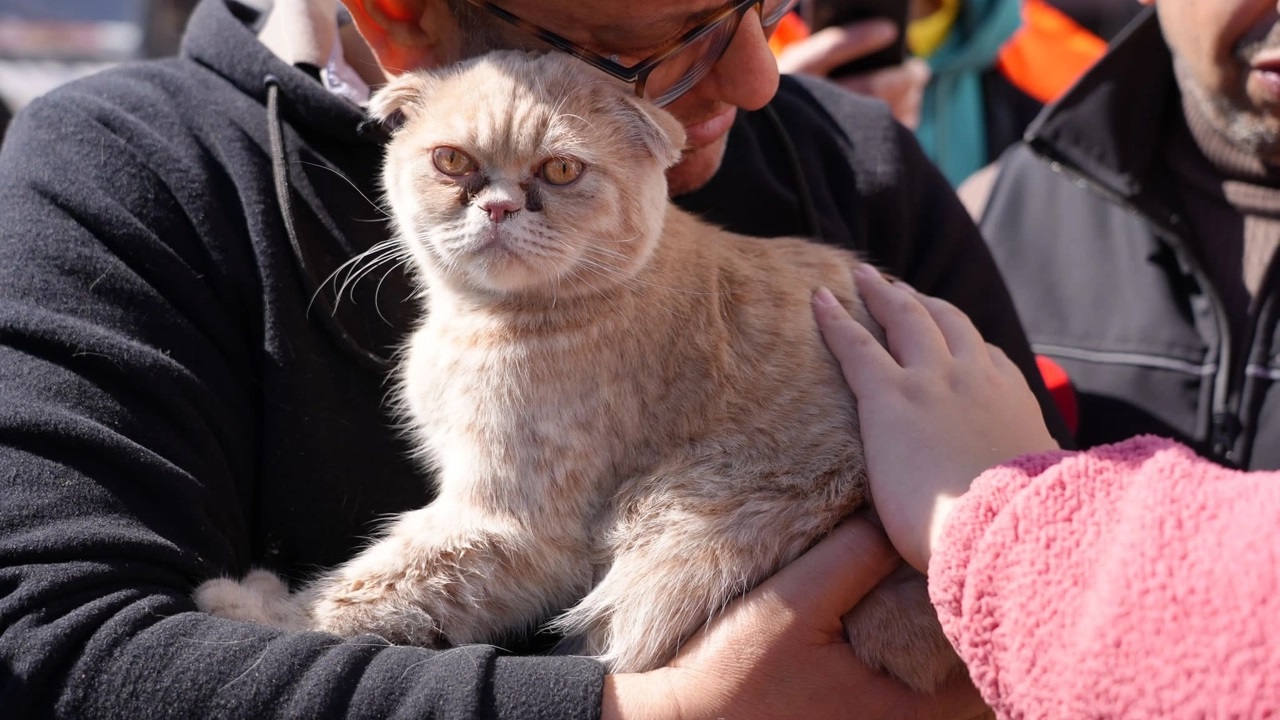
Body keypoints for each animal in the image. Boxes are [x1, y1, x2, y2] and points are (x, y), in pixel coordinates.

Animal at [197, 50, 962, 691]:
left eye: (561, 171)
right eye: (451, 161)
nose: (498, 206)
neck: (477, 321)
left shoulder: (511, 524)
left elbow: (365, 587)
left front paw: (252, 607)